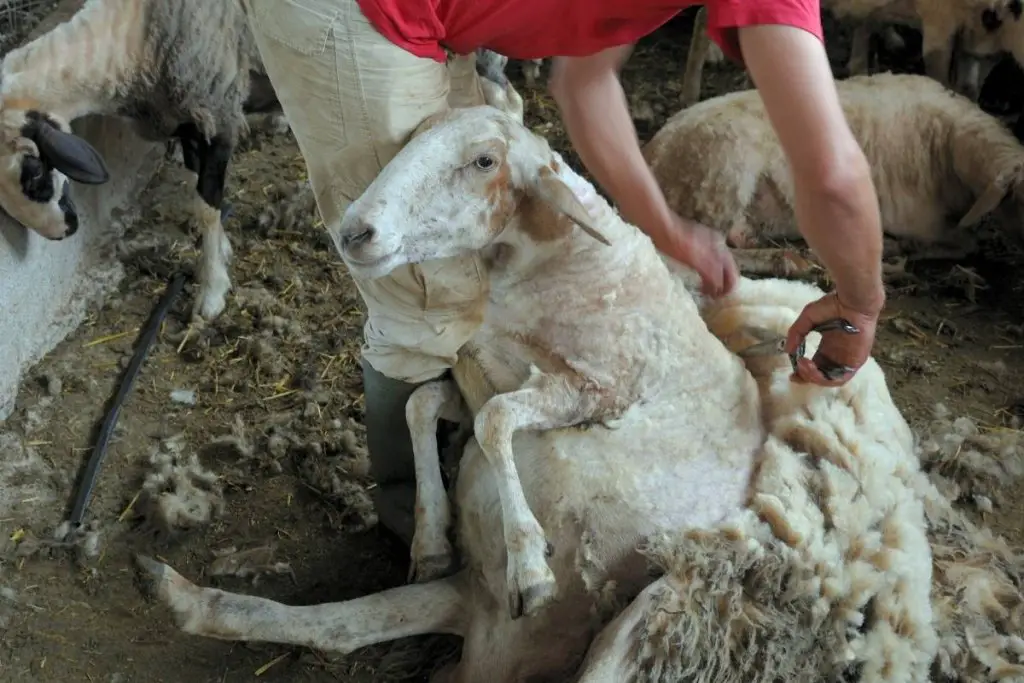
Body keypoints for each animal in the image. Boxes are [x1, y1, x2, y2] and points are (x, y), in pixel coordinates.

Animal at [0, 0, 280, 321]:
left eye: (33, 171)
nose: (61, 233)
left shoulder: (217, 114)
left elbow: (206, 208)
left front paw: (212, 290)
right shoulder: (188, 124)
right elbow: (199, 192)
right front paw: (222, 252)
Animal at [138, 102, 1024, 683]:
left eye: (484, 161)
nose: (355, 230)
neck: (555, 268)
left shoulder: (596, 385)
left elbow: (495, 422)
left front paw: (531, 559)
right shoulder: (485, 366)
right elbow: (430, 405)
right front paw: (428, 531)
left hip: (649, 609)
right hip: (487, 610)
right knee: (337, 626)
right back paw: (186, 596)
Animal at [647, 72, 1024, 274]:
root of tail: (653, 155)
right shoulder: (919, 219)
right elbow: (967, 242)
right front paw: (899, 249)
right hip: (723, 174)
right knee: (703, 249)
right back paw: (785, 259)